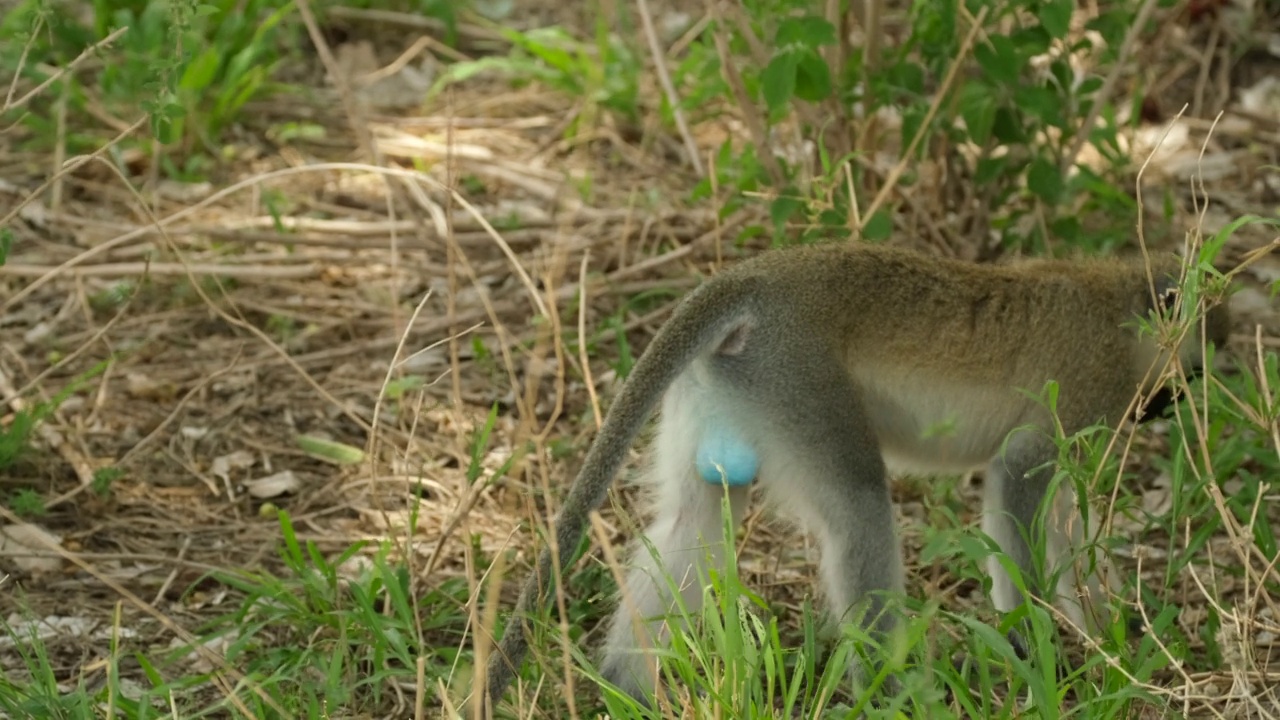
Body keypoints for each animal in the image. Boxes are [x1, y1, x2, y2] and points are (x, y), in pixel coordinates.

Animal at [478, 239, 1228, 707]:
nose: (1171, 401)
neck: (1117, 301)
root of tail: (755, 283)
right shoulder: (1087, 383)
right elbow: (1018, 478)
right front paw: (1037, 648)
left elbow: (1065, 516)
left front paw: (1105, 631)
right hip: (798, 378)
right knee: (860, 505)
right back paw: (892, 694)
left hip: (728, 386)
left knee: (697, 514)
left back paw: (626, 690)